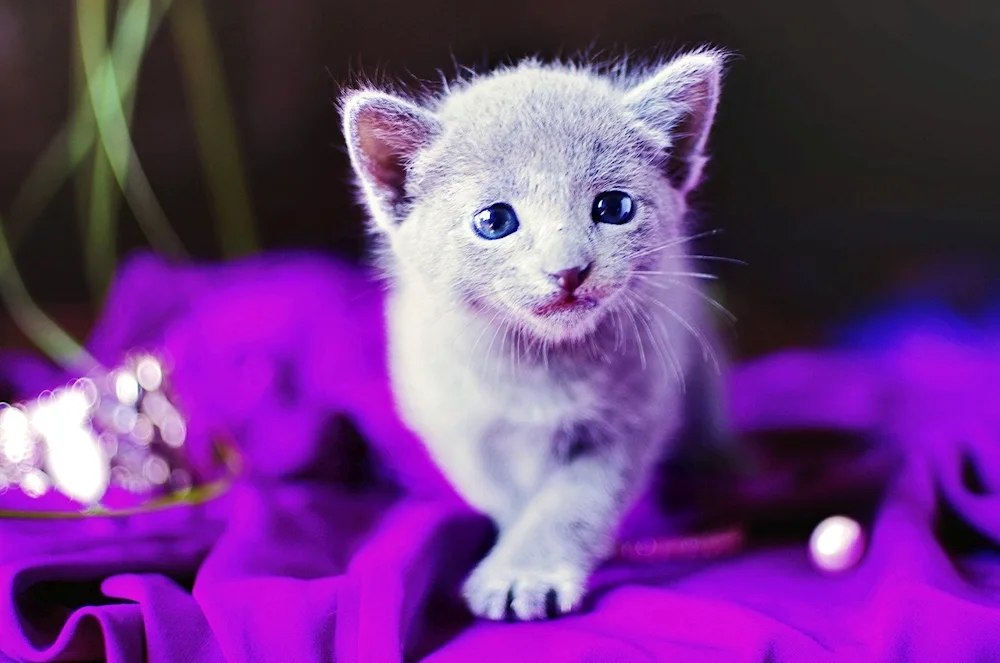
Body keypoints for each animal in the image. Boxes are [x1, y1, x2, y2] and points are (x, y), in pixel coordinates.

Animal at [344, 50, 736, 624]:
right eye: (494, 220)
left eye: (614, 208)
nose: (569, 269)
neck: (540, 364)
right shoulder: (457, 427)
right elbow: (507, 496)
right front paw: (515, 550)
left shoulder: (633, 418)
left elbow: (574, 500)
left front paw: (529, 570)